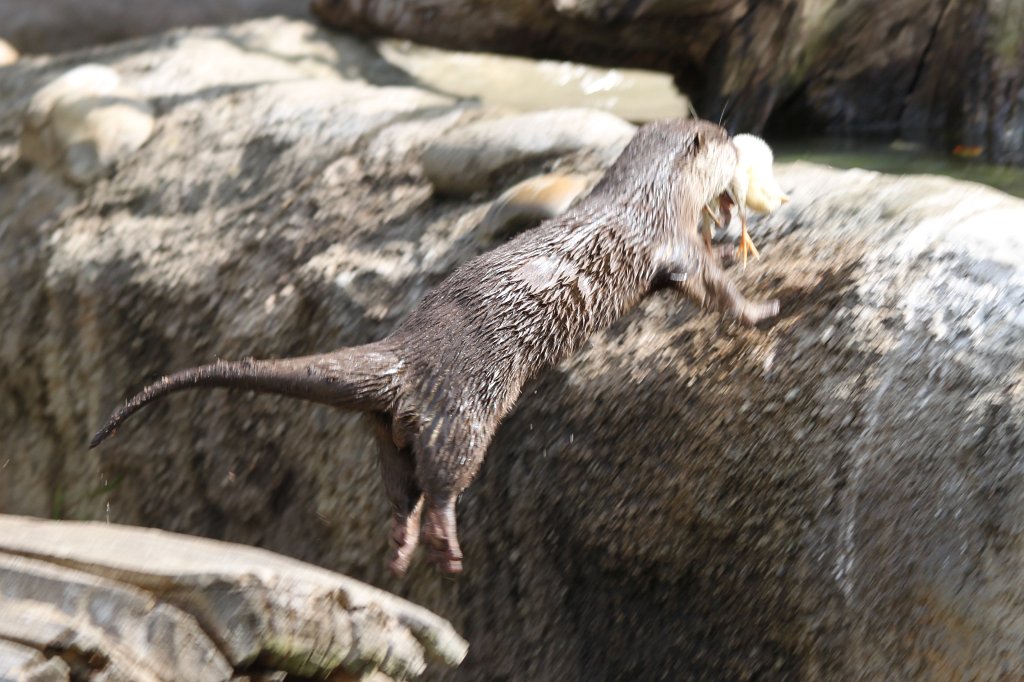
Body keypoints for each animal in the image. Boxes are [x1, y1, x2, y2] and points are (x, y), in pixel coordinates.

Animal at [90, 118, 782, 576]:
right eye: (721, 137)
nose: (735, 137)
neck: (648, 192)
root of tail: (400, 353)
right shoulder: (671, 242)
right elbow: (711, 286)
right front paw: (763, 309)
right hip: (464, 411)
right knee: (444, 482)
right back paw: (445, 547)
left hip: (387, 431)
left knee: (400, 489)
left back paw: (398, 548)